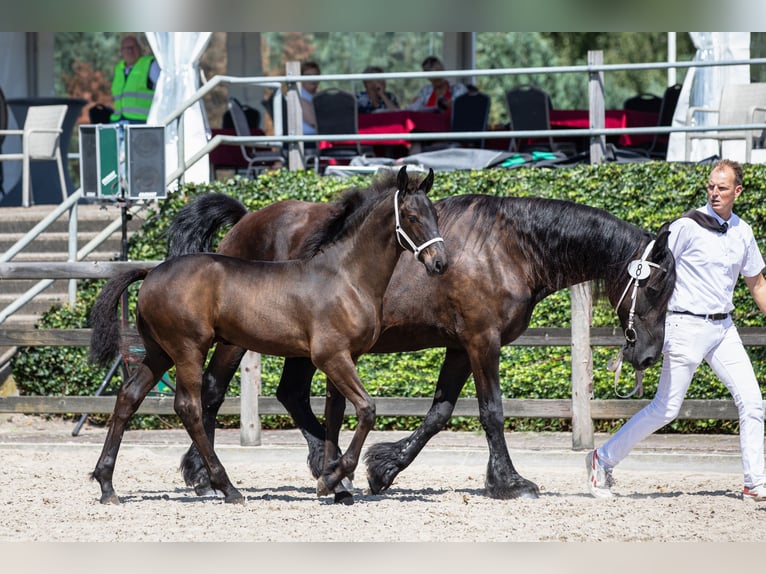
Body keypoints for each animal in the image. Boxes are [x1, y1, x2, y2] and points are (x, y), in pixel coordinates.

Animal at [170, 191, 680, 502]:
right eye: (656, 287)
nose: (647, 356)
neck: (508, 248)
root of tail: (246, 220)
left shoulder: (459, 347)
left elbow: (439, 413)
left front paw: (384, 468)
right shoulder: (482, 341)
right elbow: (492, 412)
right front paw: (511, 481)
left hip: (303, 346)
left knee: (291, 395)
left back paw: (328, 467)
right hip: (237, 341)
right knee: (211, 392)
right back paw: (205, 475)